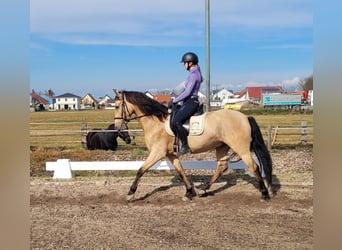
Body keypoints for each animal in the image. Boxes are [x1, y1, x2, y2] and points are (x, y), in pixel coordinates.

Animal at [112, 90, 272, 201]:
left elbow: (141, 170)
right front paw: (189, 192)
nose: (118, 127)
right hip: (221, 146)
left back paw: (264, 194)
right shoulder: (171, 154)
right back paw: (204, 189)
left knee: (254, 167)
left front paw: (130, 193)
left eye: (118, 106)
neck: (156, 122)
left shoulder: (158, 152)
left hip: (241, 149)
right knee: (222, 166)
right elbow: (180, 171)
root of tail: (245, 117)